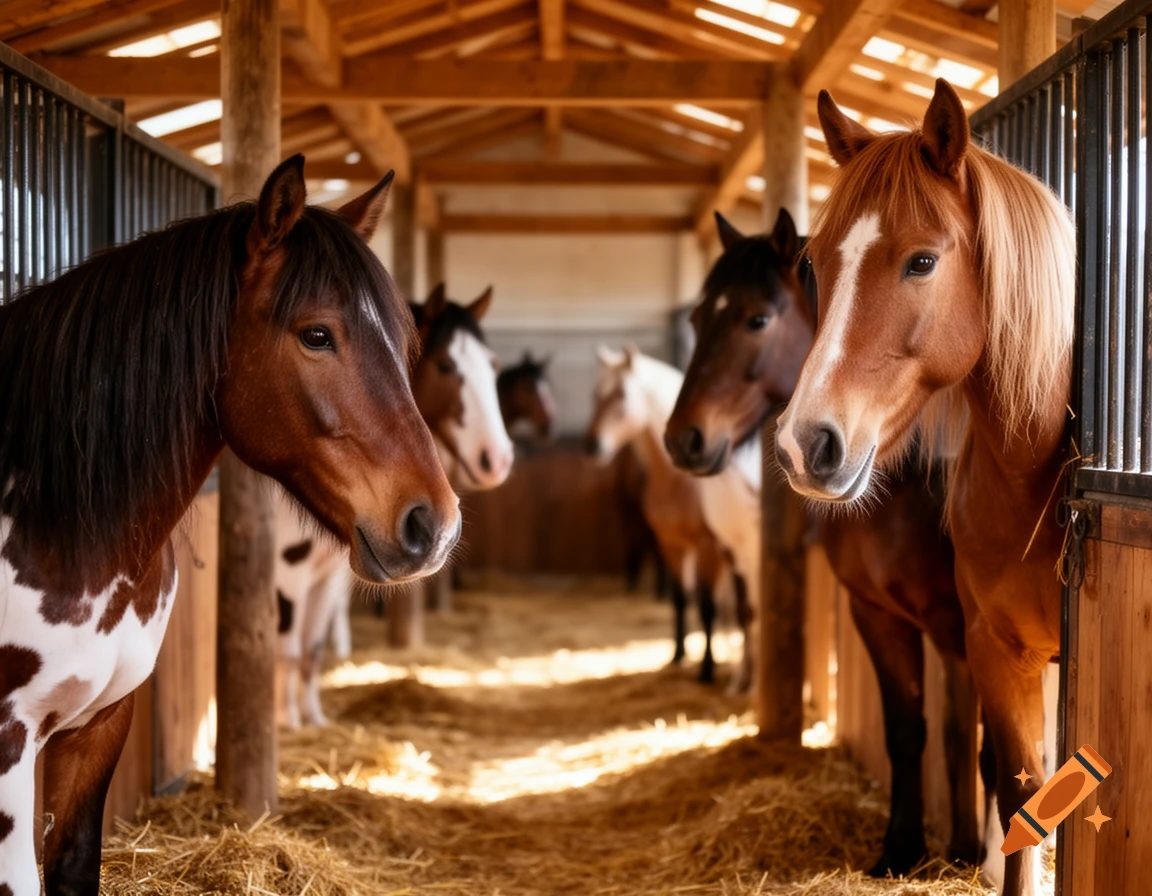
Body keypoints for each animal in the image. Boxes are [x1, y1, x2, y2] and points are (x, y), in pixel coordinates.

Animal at [0, 156, 461, 896]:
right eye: (317, 334)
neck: (58, 513)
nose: (434, 523)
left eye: (403, 343)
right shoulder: (10, 739)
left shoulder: (97, 727)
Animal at [587, 347, 755, 690]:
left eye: (622, 394)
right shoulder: (671, 544)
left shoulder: (707, 548)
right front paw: (678, 656)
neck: (679, 480)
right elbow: (680, 599)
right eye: (596, 395)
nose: (593, 445)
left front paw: (706, 669)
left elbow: (707, 606)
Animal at [665, 208, 982, 875]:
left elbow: (959, 734)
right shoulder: (877, 614)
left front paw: (964, 855)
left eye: (757, 318)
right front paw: (899, 851)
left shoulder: (954, 625)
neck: (907, 481)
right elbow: (906, 730)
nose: (683, 439)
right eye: (698, 318)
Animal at [773, 80, 1075, 896]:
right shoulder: (994, 649)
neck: (1035, 478)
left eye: (922, 261)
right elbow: (1020, 791)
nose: (805, 443)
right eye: (816, 263)